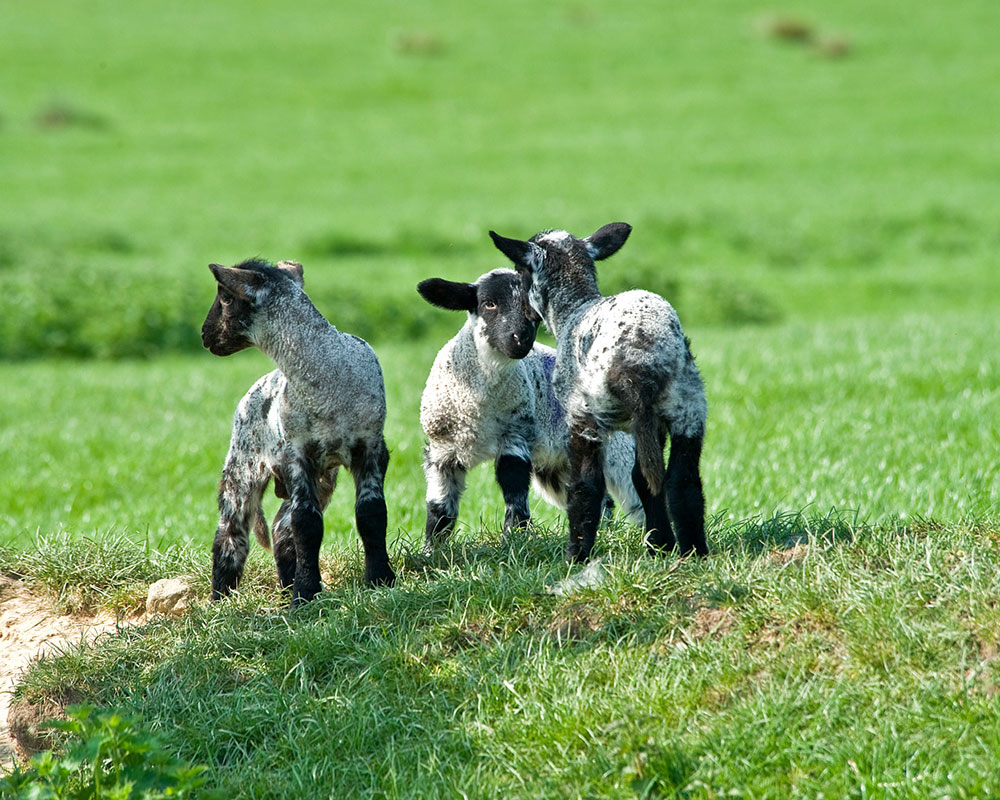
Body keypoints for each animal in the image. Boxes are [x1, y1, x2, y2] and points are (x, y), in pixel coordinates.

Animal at [199, 260, 394, 604]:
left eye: (225, 297)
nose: (204, 335)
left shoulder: (370, 446)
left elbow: (371, 514)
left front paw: (380, 579)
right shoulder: (297, 453)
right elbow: (308, 524)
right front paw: (305, 592)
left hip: (323, 475)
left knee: (281, 527)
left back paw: (287, 584)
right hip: (242, 462)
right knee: (231, 530)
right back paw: (222, 596)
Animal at [414, 266, 640, 552]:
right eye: (488, 303)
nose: (520, 339)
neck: (478, 408)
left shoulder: (515, 432)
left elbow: (514, 485)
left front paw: (515, 537)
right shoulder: (441, 450)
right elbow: (439, 506)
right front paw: (432, 550)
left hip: (618, 451)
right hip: (558, 466)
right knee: (600, 498)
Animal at [488, 223, 708, 564]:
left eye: (521, 272)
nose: (525, 315)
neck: (573, 309)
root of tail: (639, 364)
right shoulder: (656, 426)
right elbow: (644, 479)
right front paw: (660, 545)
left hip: (589, 412)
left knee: (587, 486)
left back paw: (575, 555)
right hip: (687, 405)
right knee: (681, 480)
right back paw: (691, 552)